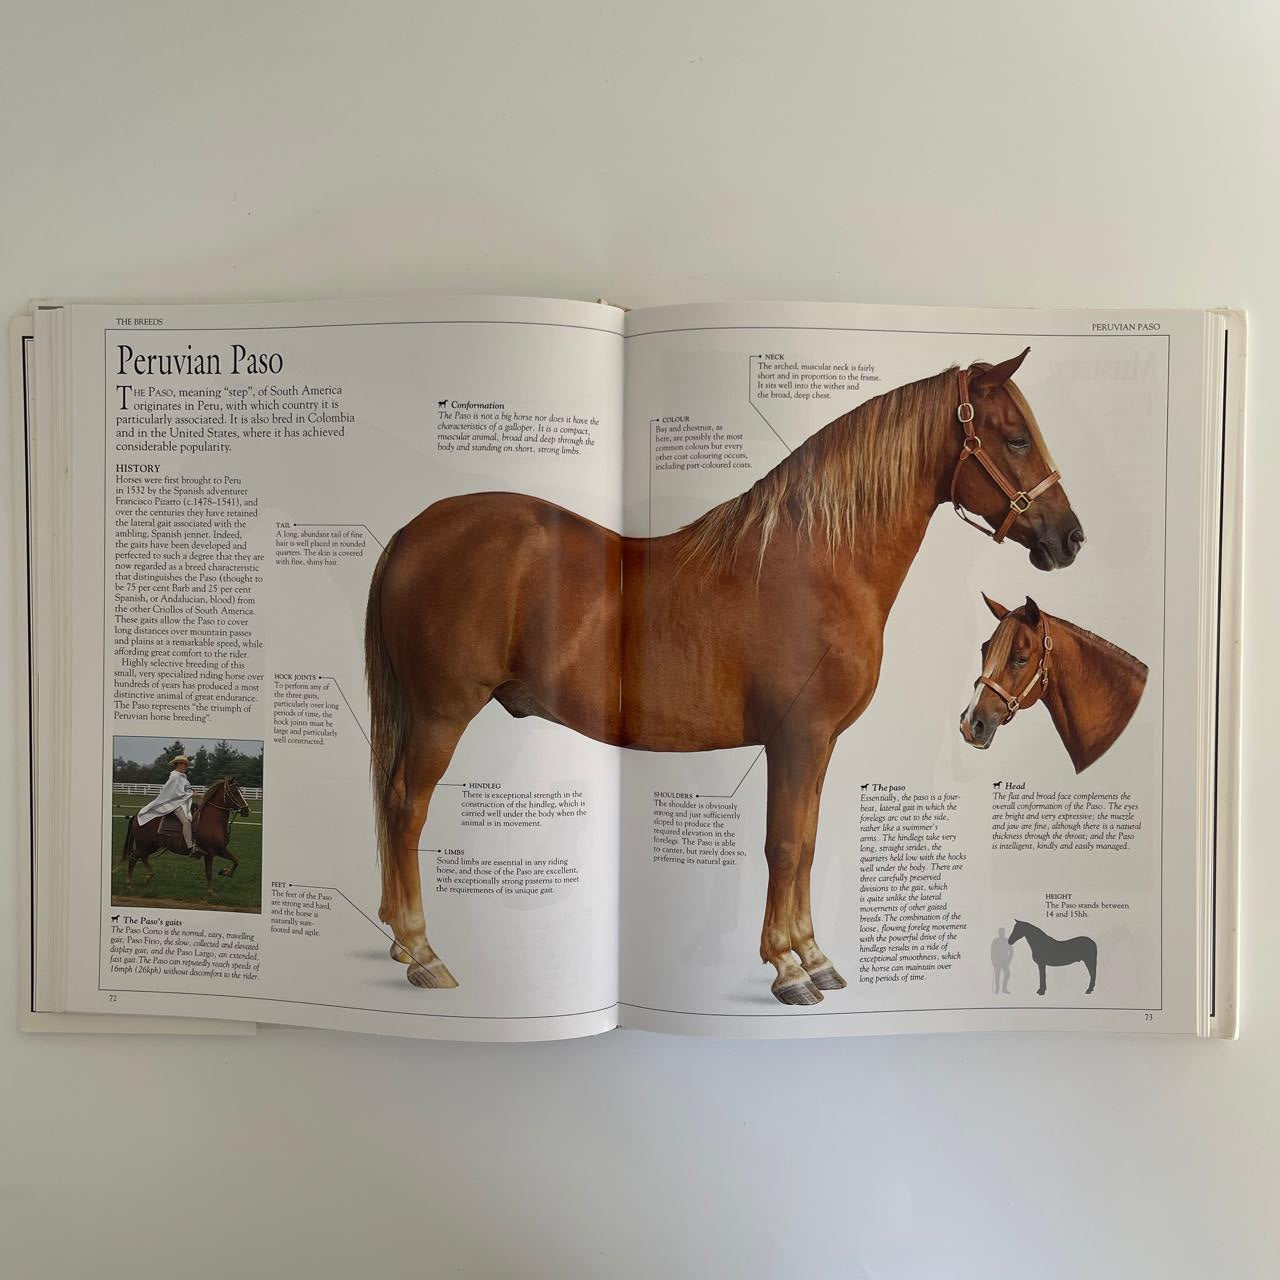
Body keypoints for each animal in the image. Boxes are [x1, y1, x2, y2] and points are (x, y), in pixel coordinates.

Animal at [117, 777, 251, 900]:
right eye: (234, 791)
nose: (246, 810)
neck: (211, 820)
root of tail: (137, 815)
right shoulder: (210, 852)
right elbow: (209, 873)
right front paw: (211, 892)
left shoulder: (221, 849)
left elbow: (236, 861)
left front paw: (225, 872)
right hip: (144, 844)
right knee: (136, 857)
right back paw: (136, 880)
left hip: (152, 846)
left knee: (139, 857)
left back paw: (143, 878)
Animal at [365, 348, 1085, 1005]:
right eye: (1015, 437)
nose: (1072, 538)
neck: (821, 563)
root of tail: (410, 532)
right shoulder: (796, 737)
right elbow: (784, 846)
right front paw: (789, 970)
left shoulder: (820, 744)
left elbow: (808, 841)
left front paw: (815, 957)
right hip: (441, 715)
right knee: (405, 807)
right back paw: (423, 953)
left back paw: (400, 942)